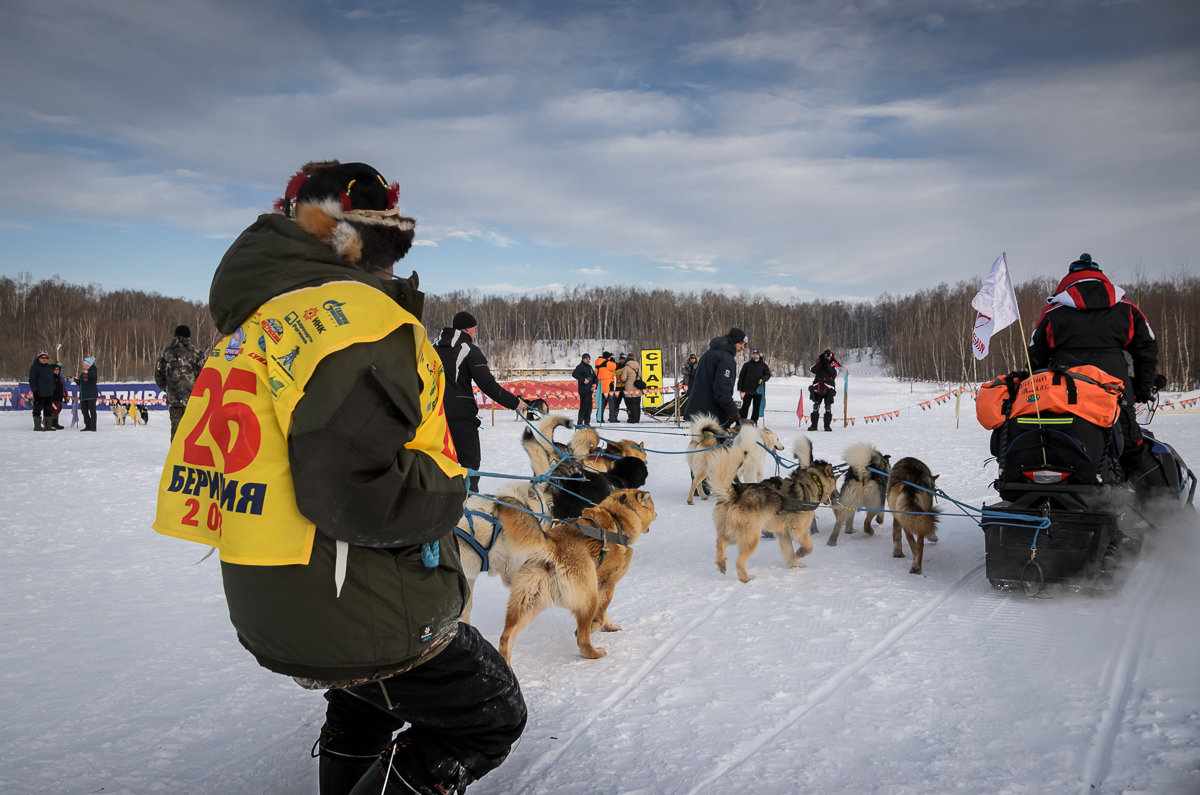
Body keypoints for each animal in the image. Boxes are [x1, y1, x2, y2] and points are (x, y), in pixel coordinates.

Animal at [496, 492, 657, 667]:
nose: (657, 514)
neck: (618, 516)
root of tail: (553, 546)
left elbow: (604, 615)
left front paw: (609, 626)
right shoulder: (607, 584)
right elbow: (601, 614)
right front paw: (598, 625)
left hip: (527, 603)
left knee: (505, 638)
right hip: (589, 598)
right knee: (583, 639)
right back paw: (594, 652)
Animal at [705, 441, 840, 586]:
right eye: (835, 482)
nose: (838, 495)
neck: (812, 483)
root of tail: (735, 493)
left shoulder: (784, 534)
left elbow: (789, 553)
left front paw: (794, 564)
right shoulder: (798, 529)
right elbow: (809, 546)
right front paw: (800, 553)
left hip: (735, 533)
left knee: (720, 541)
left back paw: (721, 563)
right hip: (751, 537)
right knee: (739, 563)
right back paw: (745, 578)